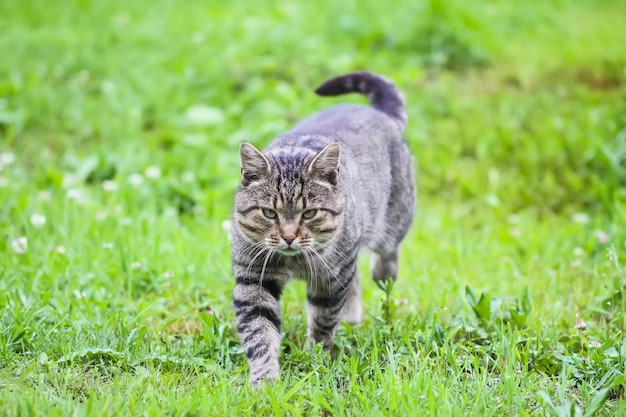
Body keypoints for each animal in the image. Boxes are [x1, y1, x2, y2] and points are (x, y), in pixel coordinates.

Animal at [229, 70, 414, 384]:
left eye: (309, 213)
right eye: (269, 213)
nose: (288, 237)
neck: (294, 262)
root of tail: (380, 113)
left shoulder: (331, 278)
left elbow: (323, 322)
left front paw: (317, 359)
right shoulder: (253, 280)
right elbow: (259, 334)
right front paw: (264, 381)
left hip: (392, 222)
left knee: (386, 254)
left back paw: (382, 275)